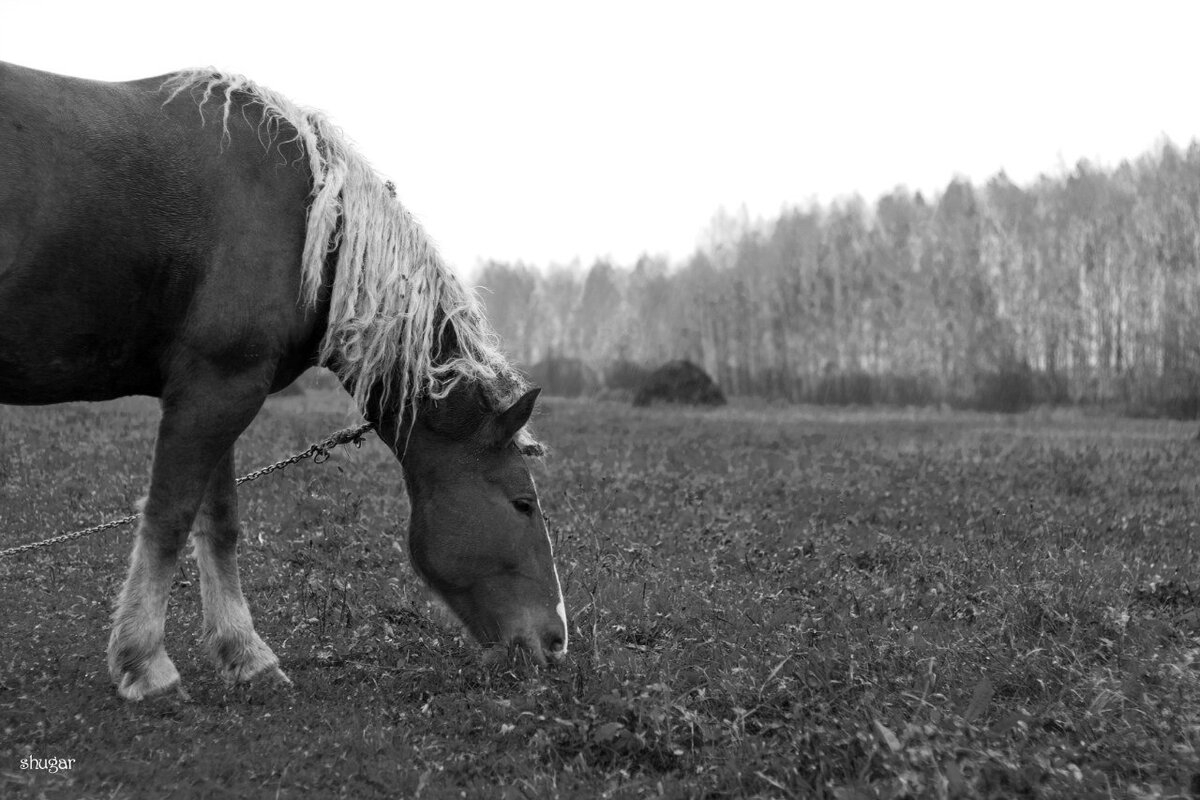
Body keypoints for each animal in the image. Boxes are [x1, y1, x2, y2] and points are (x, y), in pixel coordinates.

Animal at [0, 62, 566, 700]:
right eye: (523, 504)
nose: (557, 641)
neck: (309, 222)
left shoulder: (214, 389)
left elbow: (218, 522)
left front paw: (245, 655)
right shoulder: (218, 388)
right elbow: (169, 516)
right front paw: (146, 664)